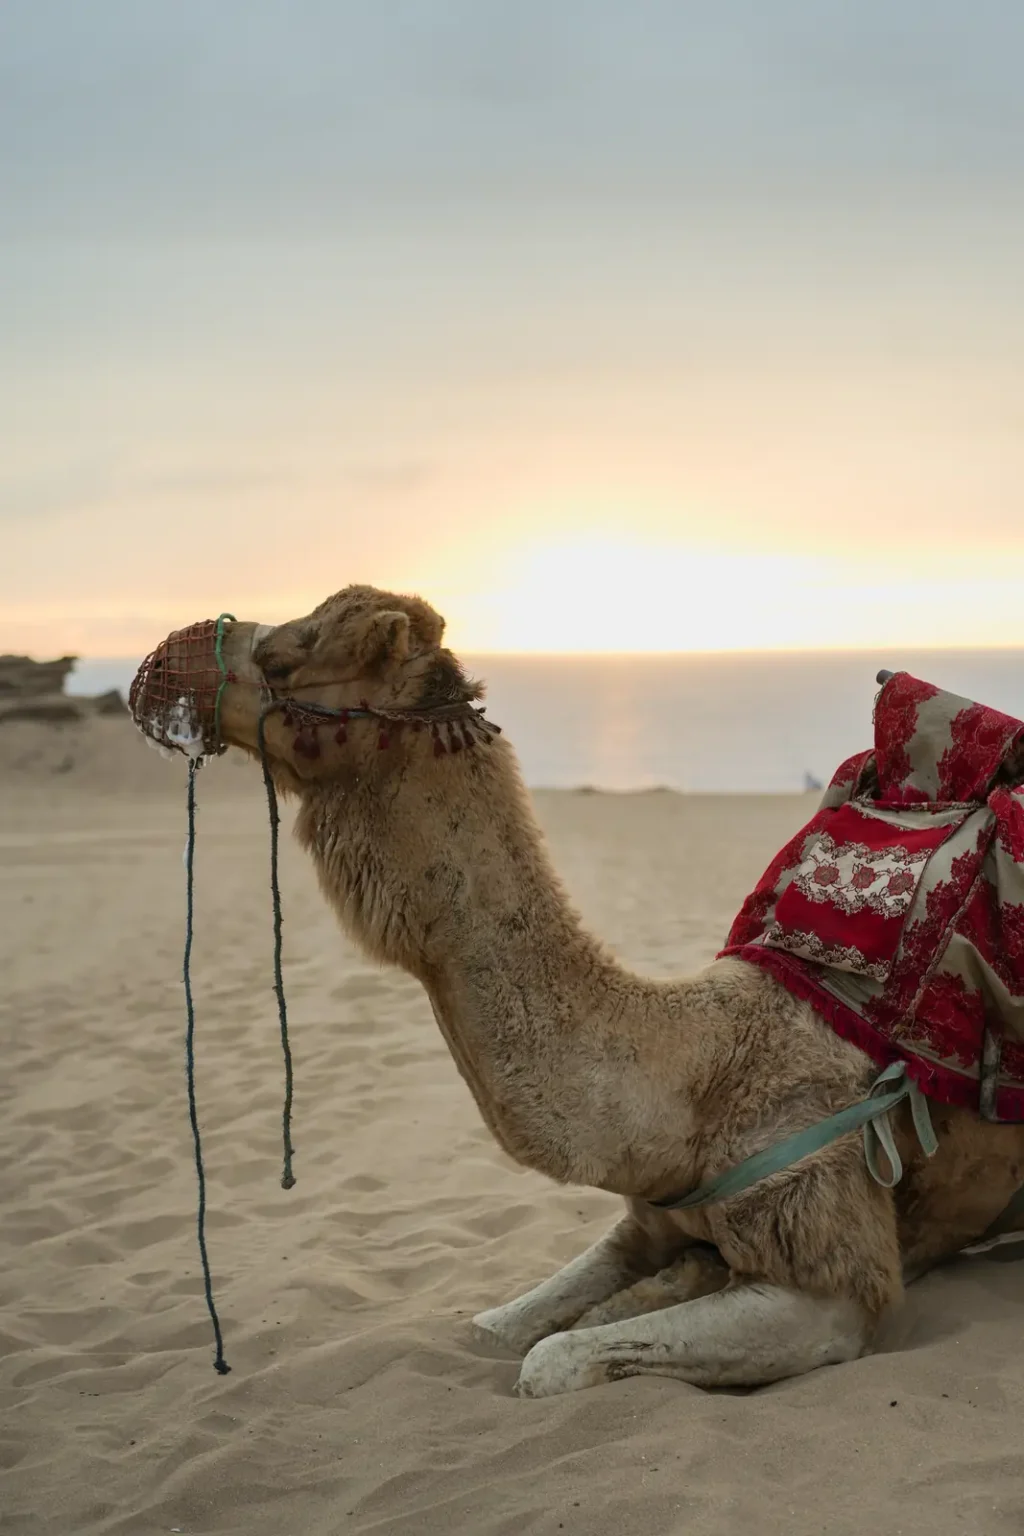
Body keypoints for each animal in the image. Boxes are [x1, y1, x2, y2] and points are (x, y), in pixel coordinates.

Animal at [138, 586, 1024, 1396]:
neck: (693, 1083)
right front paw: (670, 1280)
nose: (158, 663)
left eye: (286, 657)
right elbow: (494, 1332)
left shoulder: (831, 1268)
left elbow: (548, 1361)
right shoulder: (646, 1219)